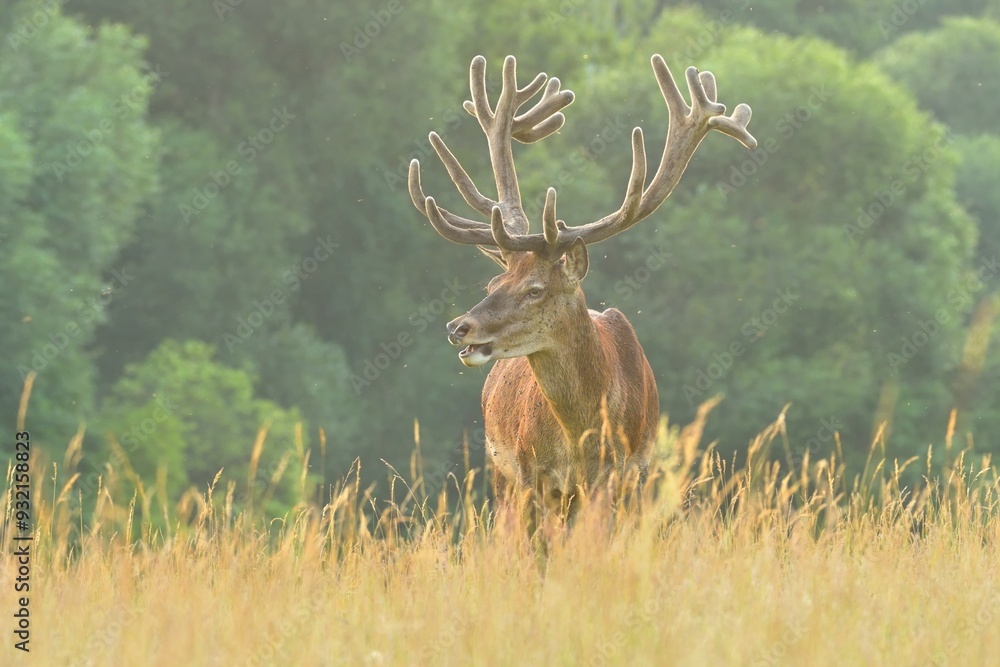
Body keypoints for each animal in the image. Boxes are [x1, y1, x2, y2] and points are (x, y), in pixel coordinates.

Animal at [408, 54, 756, 537]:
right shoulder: (532, 475)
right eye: (492, 284)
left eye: (535, 289)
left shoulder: (627, 476)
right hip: (501, 474)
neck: (583, 439)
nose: (459, 326)